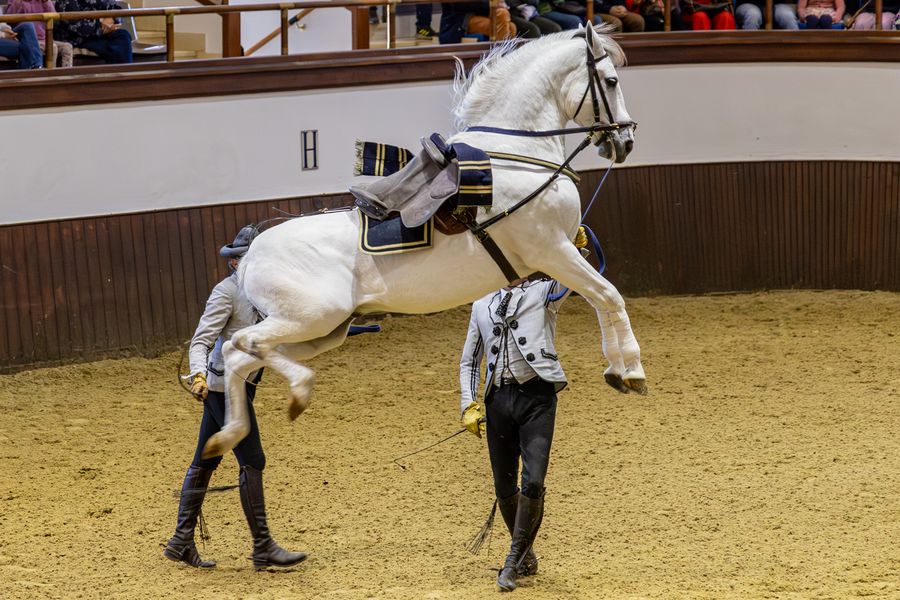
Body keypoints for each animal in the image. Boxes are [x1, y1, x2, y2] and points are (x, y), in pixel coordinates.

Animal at [203, 23, 644, 458]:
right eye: (611, 80)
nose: (624, 142)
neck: (517, 157)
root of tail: (251, 254)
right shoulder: (554, 251)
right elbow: (609, 295)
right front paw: (632, 370)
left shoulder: (559, 257)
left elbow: (599, 299)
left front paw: (615, 369)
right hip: (311, 318)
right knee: (241, 343)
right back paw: (297, 390)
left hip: (322, 331)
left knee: (237, 356)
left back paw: (225, 437)